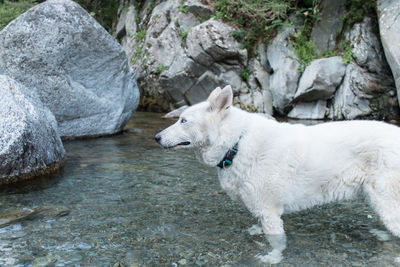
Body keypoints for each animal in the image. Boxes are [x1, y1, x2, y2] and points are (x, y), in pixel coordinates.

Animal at [155, 85, 400, 264]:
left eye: (183, 121)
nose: (156, 137)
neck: (236, 144)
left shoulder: (269, 211)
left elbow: (276, 243)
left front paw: (273, 258)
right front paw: (256, 230)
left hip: (385, 200)